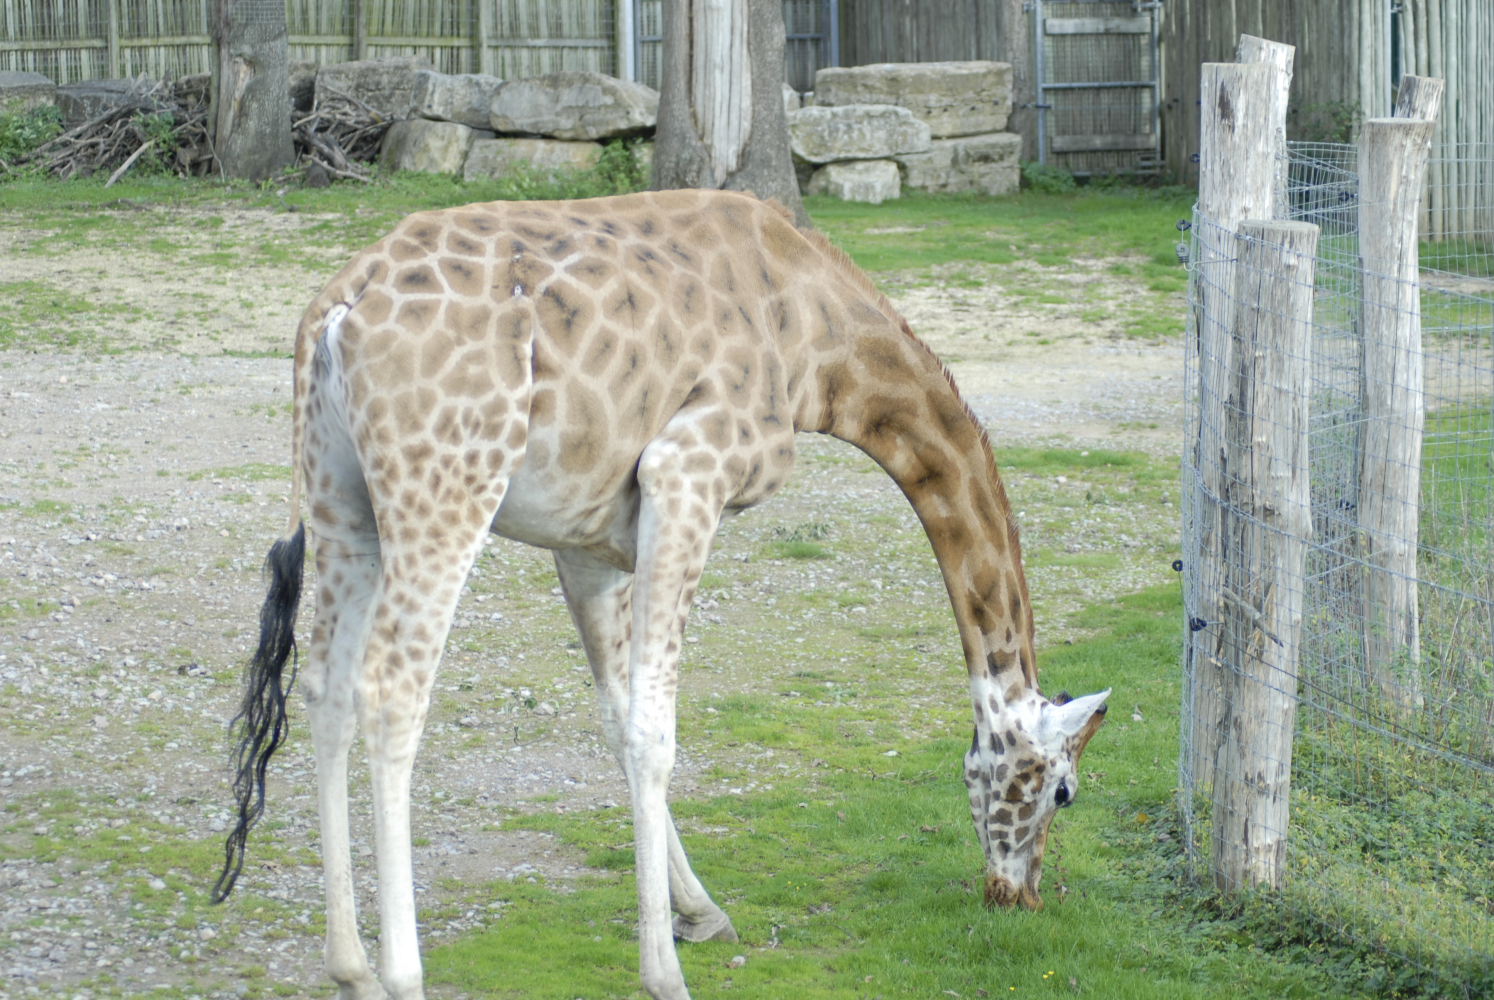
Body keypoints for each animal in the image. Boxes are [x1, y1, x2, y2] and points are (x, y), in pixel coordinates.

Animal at [213, 189, 1111, 1000]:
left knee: (325, 685)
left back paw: (351, 967)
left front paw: (699, 912)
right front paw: (666, 972)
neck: (815, 340)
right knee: (392, 692)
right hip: (447, 486)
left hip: (341, 498)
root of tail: (336, 310)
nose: (1016, 894)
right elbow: (654, 729)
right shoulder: (687, 472)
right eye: (1061, 789)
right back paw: (402, 976)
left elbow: (618, 719)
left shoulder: (589, 539)